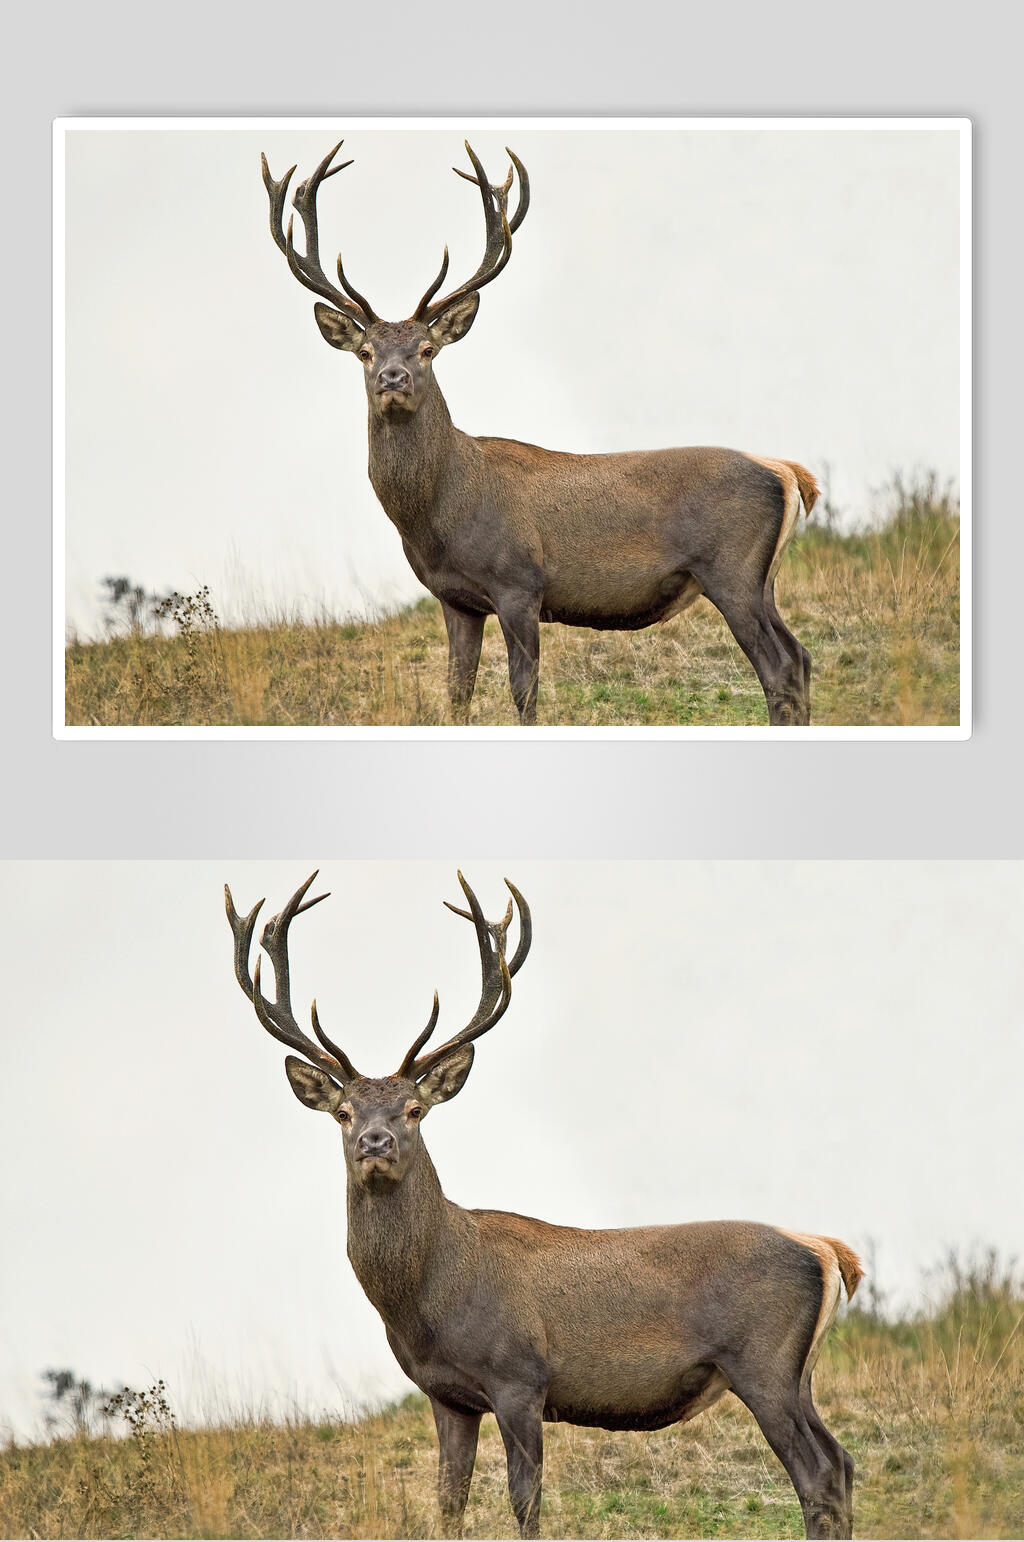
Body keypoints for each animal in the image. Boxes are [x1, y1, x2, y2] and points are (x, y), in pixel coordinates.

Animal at [225, 871, 862, 1539]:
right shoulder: (446, 1395)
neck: (428, 1301)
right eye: (344, 1113)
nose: (377, 1142)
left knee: (817, 1472)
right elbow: (448, 1501)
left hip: (763, 1362)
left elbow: (525, 1499)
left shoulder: (519, 1378)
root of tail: (827, 1252)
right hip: (799, 1372)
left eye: (415, 1110)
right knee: (841, 1462)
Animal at [260, 140, 819, 727]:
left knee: (780, 666)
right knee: (801, 657)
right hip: (763, 579)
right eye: (365, 352)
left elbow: (523, 691)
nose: (394, 377)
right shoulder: (455, 599)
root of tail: (789, 474)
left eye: (427, 350)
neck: (439, 516)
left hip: (732, 570)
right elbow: (457, 693)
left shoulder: (519, 583)